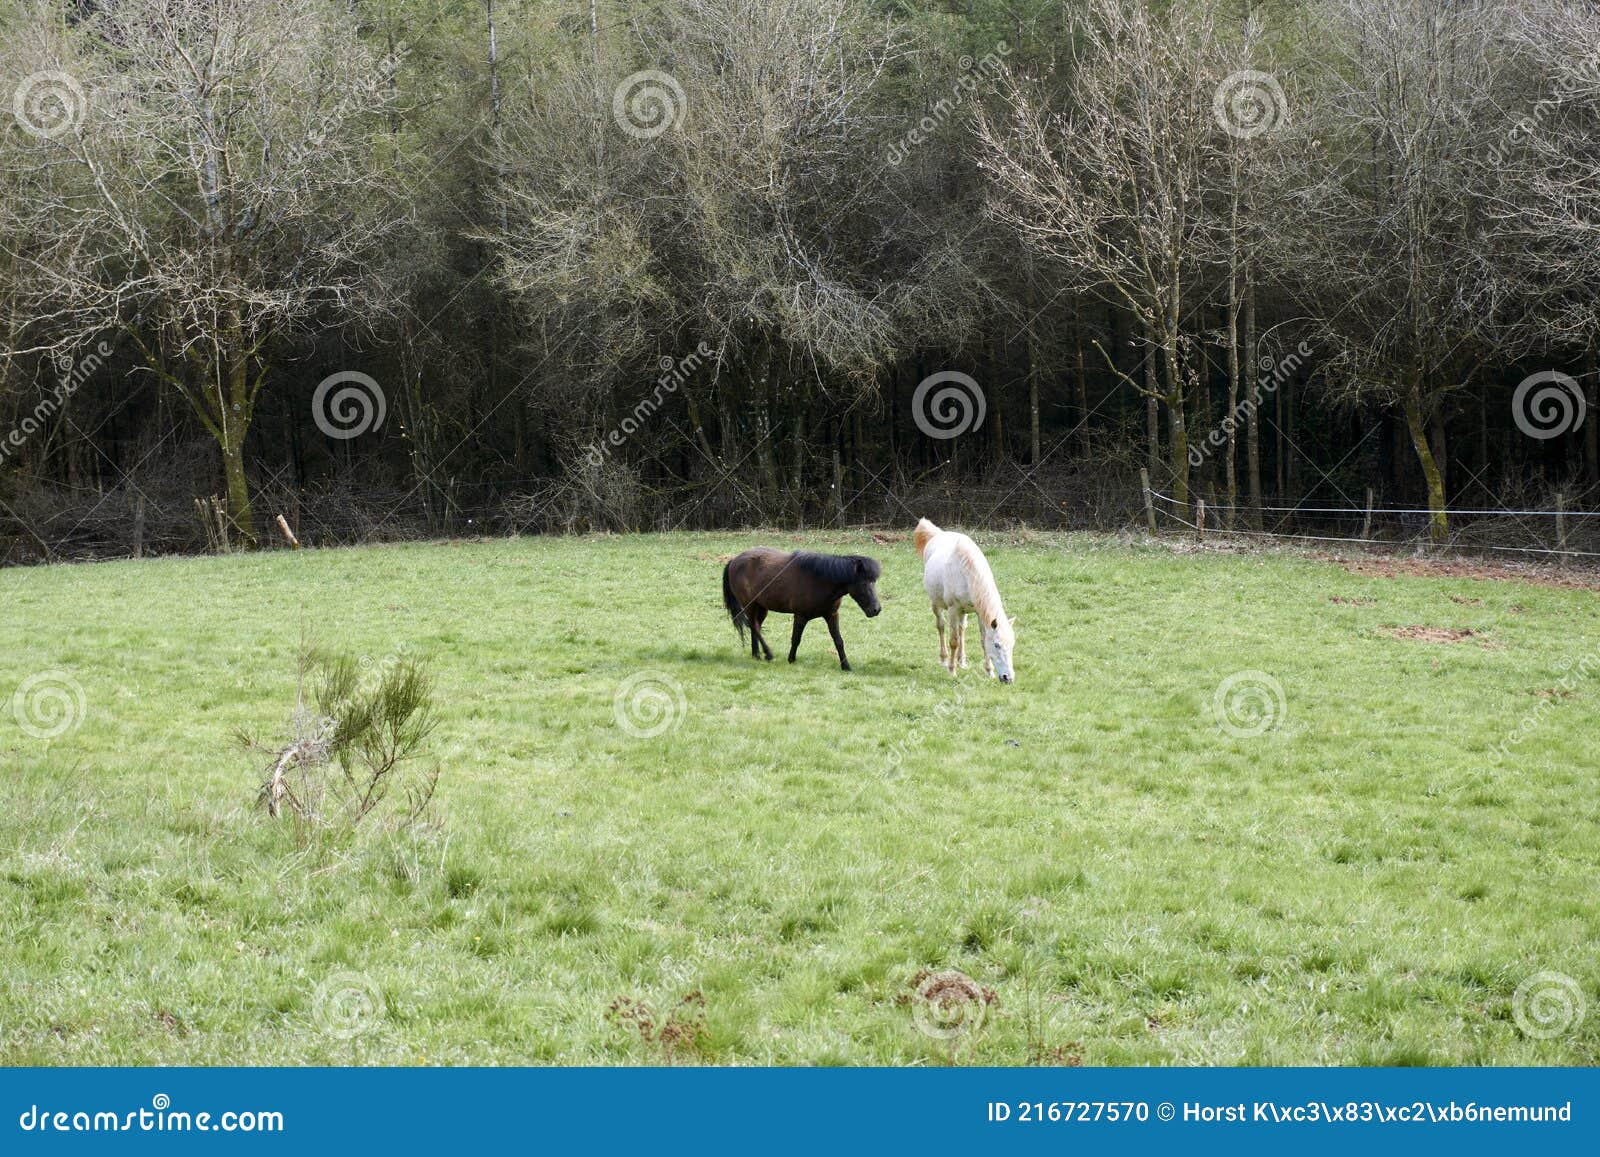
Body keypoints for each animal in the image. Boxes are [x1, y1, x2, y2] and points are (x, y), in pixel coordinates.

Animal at [720, 550, 883, 668]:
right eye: (864, 583)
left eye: (874, 582)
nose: (876, 609)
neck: (820, 580)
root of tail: (734, 561)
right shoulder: (800, 615)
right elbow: (796, 639)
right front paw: (791, 660)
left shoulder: (831, 615)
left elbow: (839, 641)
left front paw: (846, 666)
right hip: (750, 605)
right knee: (753, 626)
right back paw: (768, 654)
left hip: (761, 607)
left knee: (756, 627)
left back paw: (757, 655)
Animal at [915, 521, 1011, 684]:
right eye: (997, 645)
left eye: (1012, 645)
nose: (1007, 678)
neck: (968, 572)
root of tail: (939, 534)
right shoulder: (953, 609)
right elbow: (954, 641)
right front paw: (952, 671)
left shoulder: (979, 613)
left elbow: (982, 640)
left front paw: (989, 671)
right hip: (936, 604)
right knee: (941, 626)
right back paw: (944, 659)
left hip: (964, 612)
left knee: (962, 630)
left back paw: (962, 661)